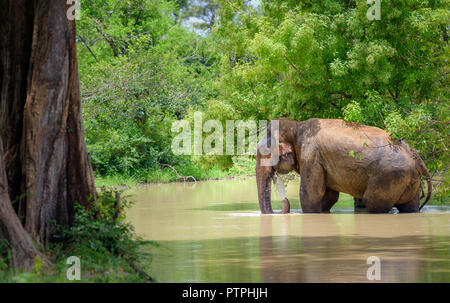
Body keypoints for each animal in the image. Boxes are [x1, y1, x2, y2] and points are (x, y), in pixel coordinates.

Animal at [255, 117, 430, 215]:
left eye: (265, 153)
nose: (285, 203)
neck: (295, 126)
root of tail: (416, 157)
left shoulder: (311, 156)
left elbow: (310, 195)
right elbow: (329, 196)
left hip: (389, 175)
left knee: (371, 202)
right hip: (409, 179)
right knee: (409, 207)